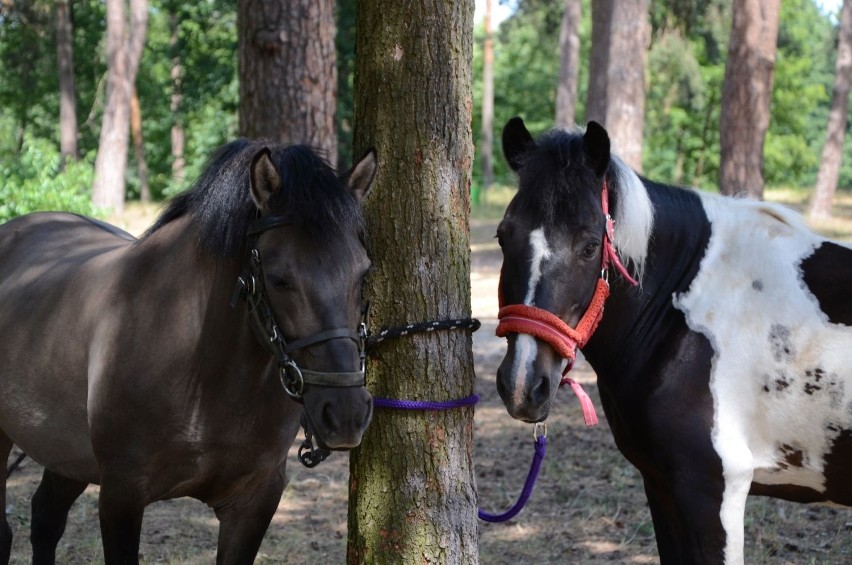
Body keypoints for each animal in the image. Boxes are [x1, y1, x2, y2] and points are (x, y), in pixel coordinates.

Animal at [0, 139, 376, 560]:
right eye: (280, 279)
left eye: (363, 273)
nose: (345, 414)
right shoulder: (120, 495)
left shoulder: (256, 501)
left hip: (67, 455)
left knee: (46, 517)